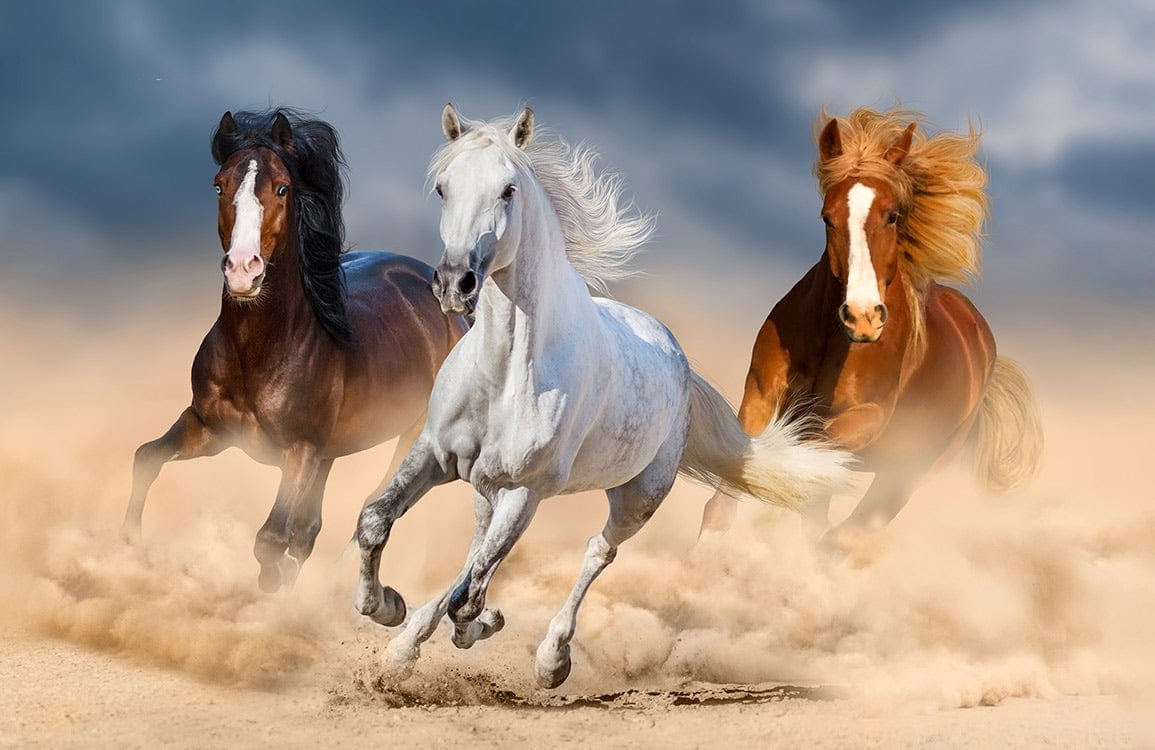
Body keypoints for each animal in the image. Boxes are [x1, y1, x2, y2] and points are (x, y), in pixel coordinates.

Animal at [122, 109, 467, 592]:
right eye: (219, 185)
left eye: (283, 188)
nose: (243, 270)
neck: (259, 351)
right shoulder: (210, 428)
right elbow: (146, 458)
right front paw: (129, 544)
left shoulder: (300, 451)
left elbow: (270, 539)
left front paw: (271, 591)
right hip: (331, 451)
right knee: (309, 528)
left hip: (413, 436)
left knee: (374, 506)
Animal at [352, 104, 850, 688]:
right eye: (442, 187)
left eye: (508, 189)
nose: (456, 283)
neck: (505, 373)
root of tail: (678, 359)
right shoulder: (435, 452)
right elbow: (377, 523)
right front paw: (387, 608)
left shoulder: (527, 490)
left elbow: (470, 594)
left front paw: (474, 625)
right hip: (486, 486)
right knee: (477, 549)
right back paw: (408, 644)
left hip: (637, 498)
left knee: (595, 553)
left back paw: (551, 659)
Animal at [698, 107, 1043, 548]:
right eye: (827, 217)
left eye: (892, 215)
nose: (862, 317)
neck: (831, 343)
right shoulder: (759, 395)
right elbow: (731, 489)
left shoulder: (866, 419)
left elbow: (804, 455)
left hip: (909, 472)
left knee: (848, 531)